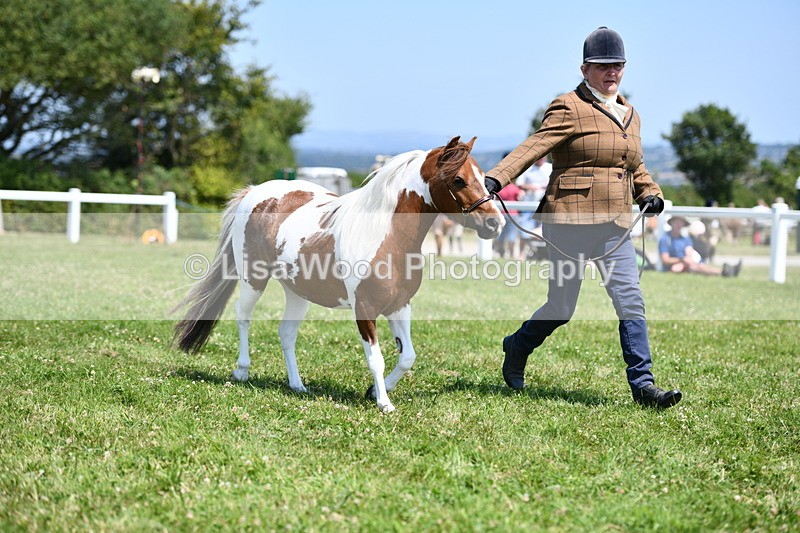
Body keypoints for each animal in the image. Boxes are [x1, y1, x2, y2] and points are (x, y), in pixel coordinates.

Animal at [173, 136, 504, 412]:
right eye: (459, 179)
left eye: (483, 178)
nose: (495, 224)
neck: (385, 236)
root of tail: (254, 192)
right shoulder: (365, 309)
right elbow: (376, 358)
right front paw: (384, 403)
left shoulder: (399, 306)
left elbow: (407, 356)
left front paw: (374, 392)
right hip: (253, 279)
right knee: (243, 316)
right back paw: (242, 370)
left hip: (297, 291)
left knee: (286, 333)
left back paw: (297, 385)